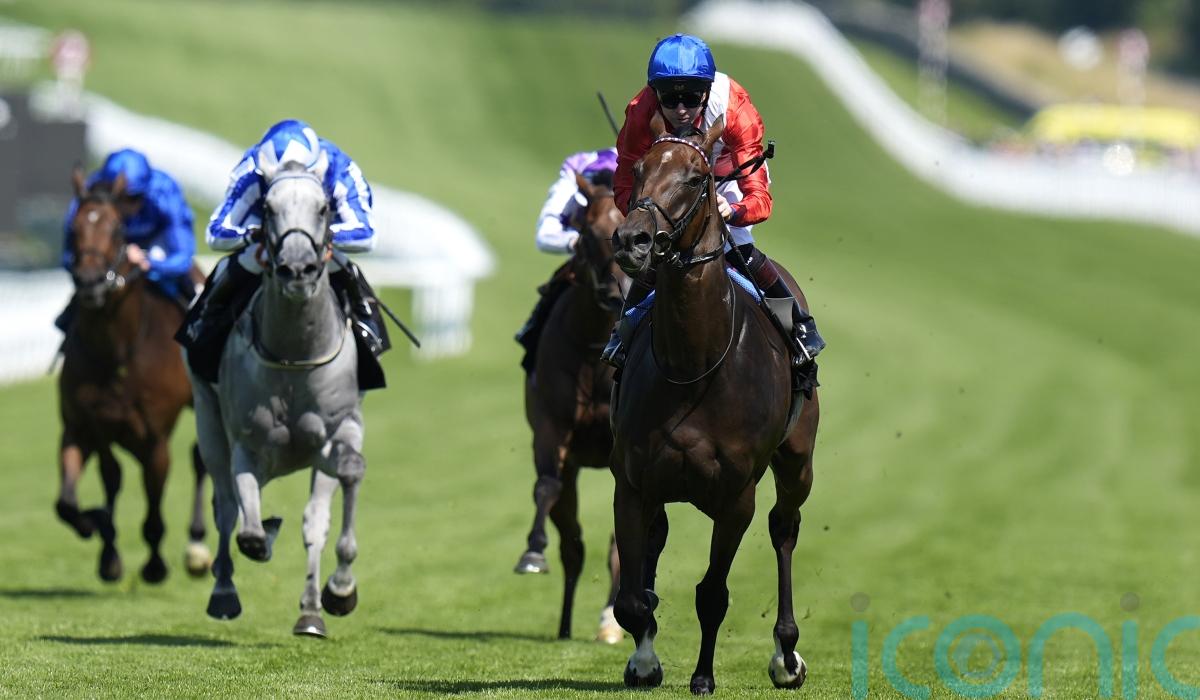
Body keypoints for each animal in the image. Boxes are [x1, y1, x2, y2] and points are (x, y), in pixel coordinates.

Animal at [56, 168, 212, 584]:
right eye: (73, 229)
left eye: (116, 229)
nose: (90, 282)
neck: (117, 350)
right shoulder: (82, 426)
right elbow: (70, 502)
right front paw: (99, 532)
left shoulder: (154, 438)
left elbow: (154, 509)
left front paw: (155, 565)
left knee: (202, 458)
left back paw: (197, 544)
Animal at [188, 160, 367, 638]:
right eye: (267, 209)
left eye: (324, 207)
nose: (297, 268)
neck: (295, 356)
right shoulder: (247, 442)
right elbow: (245, 525)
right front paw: (259, 541)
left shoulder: (338, 429)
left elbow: (336, 493)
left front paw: (336, 593)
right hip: (208, 424)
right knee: (226, 508)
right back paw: (224, 591)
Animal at [607, 115, 820, 695]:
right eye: (639, 169)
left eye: (696, 177)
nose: (632, 238)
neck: (693, 365)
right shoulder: (632, 483)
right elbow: (634, 599)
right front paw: (644, 660)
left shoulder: (736, 497)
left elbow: (712, 594)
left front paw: (703, 676)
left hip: (798, 461)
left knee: (785, 528)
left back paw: (786, 655)